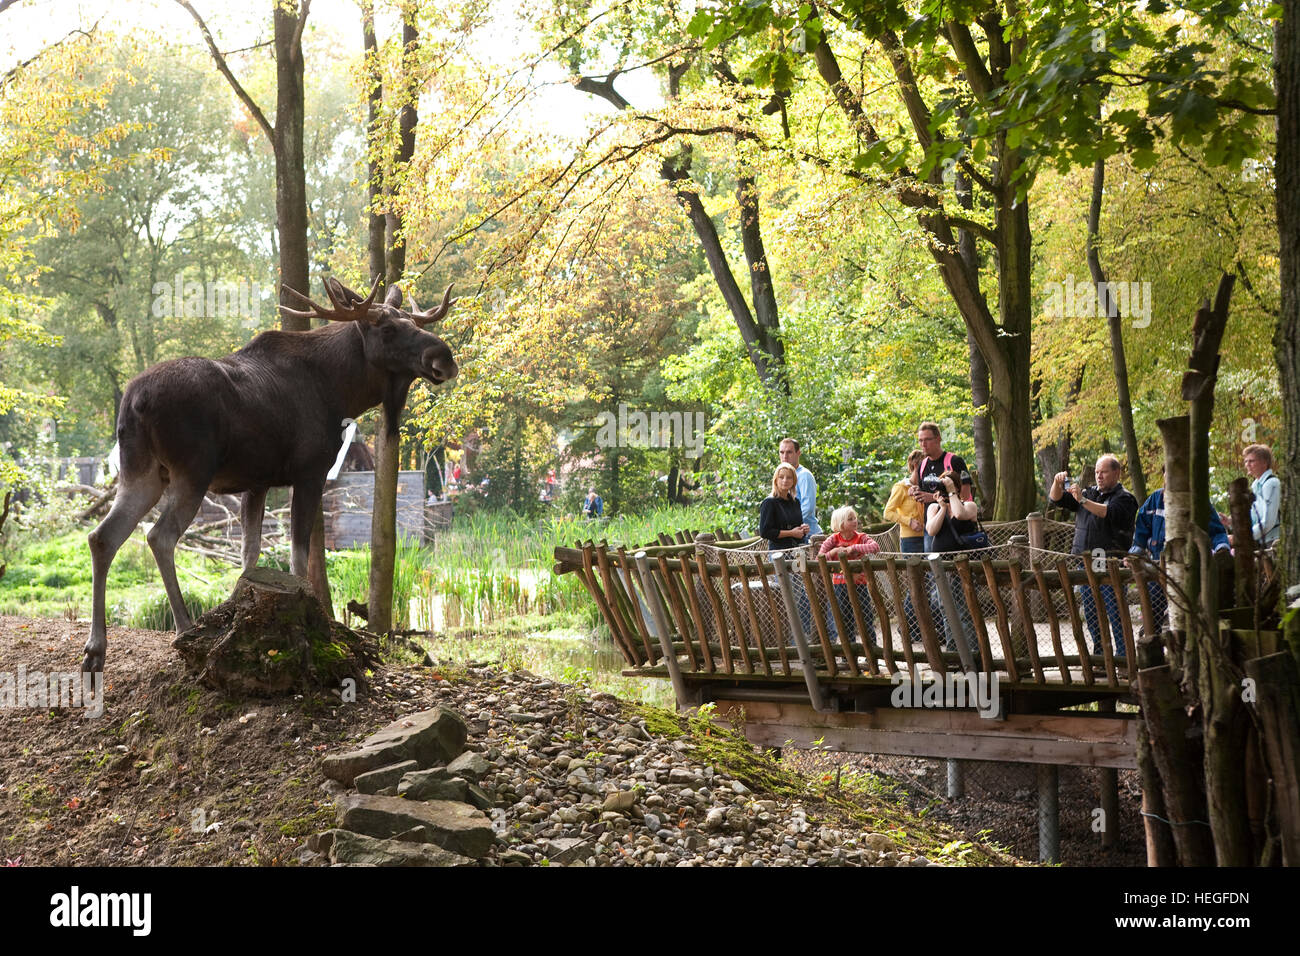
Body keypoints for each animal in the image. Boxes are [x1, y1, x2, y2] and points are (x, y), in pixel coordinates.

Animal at [81, 277, 457, 671]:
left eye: (414, 323)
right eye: (387, 329)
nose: (443, 357)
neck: (341, 392)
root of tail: (133, 402)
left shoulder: (256, 483)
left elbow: (250, 555)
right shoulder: (310, 473)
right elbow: (298, 556)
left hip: (142, 474)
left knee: (102, 537)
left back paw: (95, 648)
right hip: (191, 473)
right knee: (159, 536)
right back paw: (183, 626)